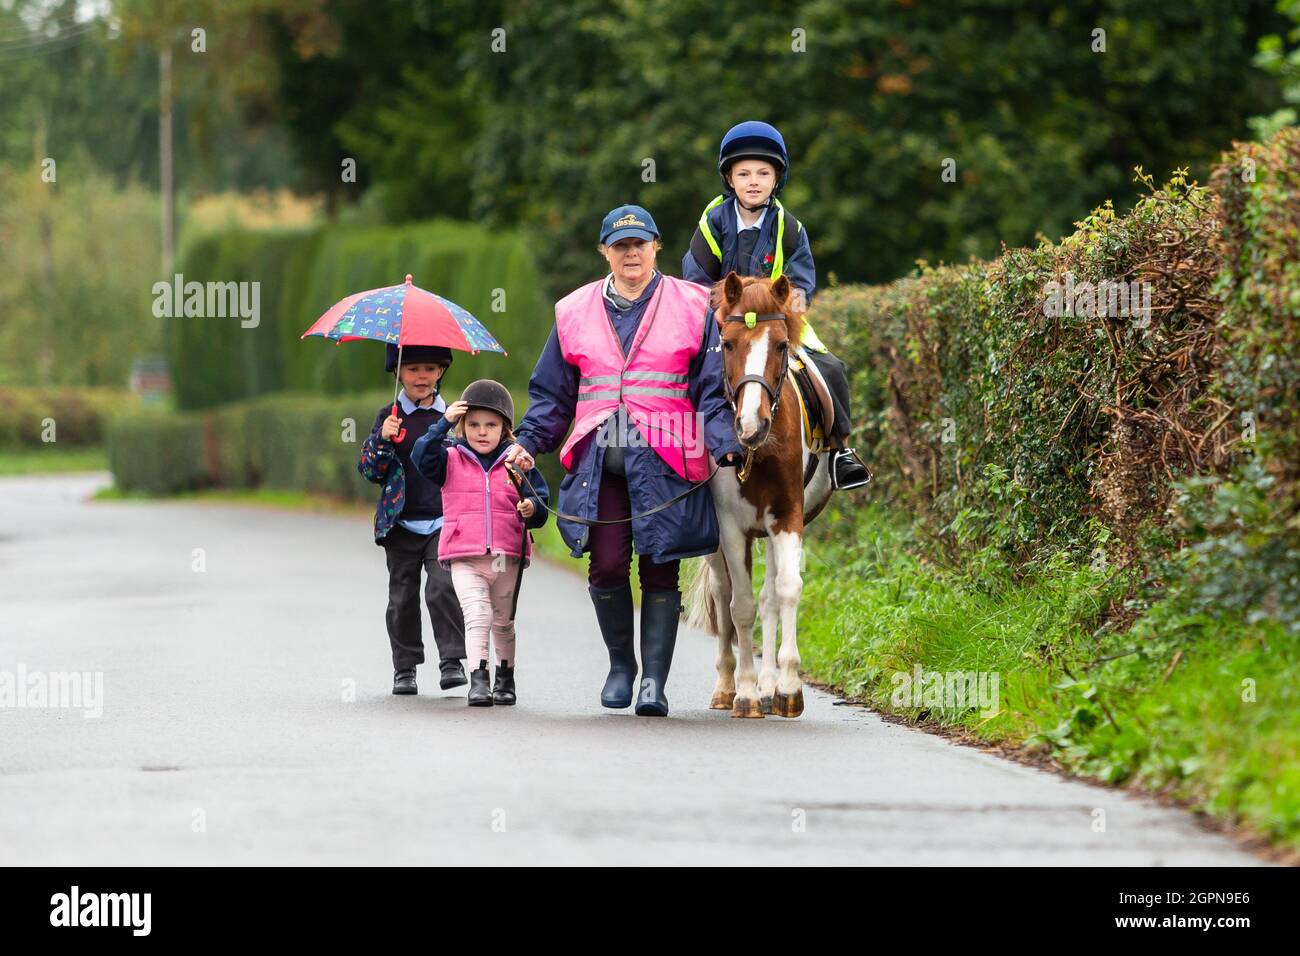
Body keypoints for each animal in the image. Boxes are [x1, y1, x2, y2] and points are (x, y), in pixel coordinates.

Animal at [681, 270, 832, 717]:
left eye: (781, 345)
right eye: (728, 344)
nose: (752, 425)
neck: (755, 452)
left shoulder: (788, 516)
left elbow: (786, 590)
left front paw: (786, 688)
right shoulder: (731, 528)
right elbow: (740, 606)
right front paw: (745, 693)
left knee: (768, 597)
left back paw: (767, 686)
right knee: (724, 595)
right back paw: (726, 688)